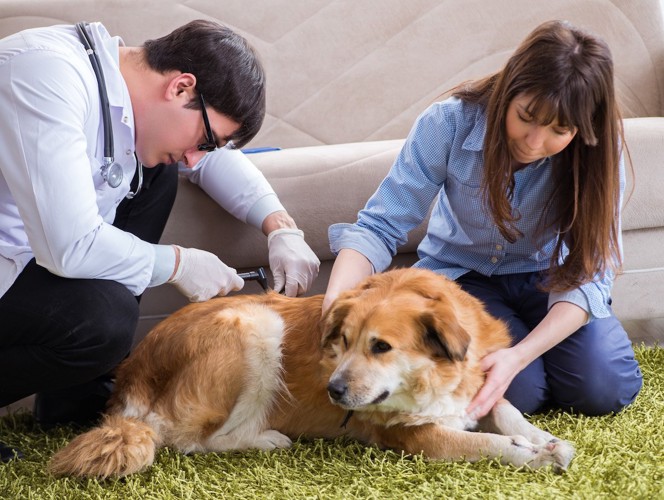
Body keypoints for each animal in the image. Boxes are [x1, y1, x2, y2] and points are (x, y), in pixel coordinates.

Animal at [49, 268, 572, 478]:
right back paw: (266, 439)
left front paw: (545, 439)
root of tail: (133, 370)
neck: (435, 377)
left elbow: (505, 412)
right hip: (256, 324)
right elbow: (483, 443)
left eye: (380, 346)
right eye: (342, 341)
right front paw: (530, 454)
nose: (333, 390)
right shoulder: (413, 437)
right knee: (194, 440)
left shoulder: (478, 388)